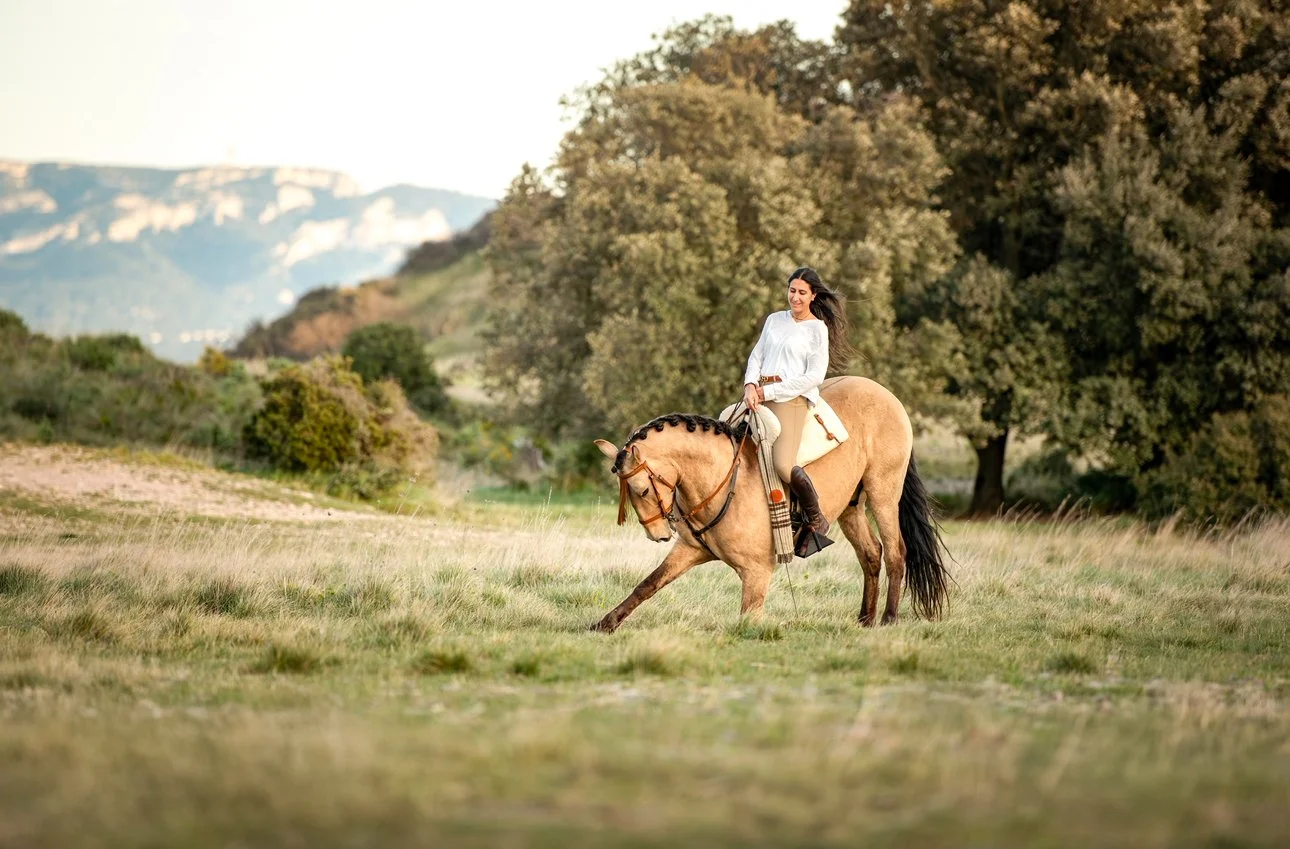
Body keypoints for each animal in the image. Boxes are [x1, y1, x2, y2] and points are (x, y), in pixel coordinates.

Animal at [591, 375, 951, 633]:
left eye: (642, 490)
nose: (658, 535)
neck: (722, 479)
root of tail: (885, 394)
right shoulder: (689, 550)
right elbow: (647, 585)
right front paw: (605, 624)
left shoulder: (757, 573)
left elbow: (745, 621)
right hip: (852, 507)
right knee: (871, 554)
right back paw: (865, 619)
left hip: (883, 492)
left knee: (895, 552)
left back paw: (888, 619)